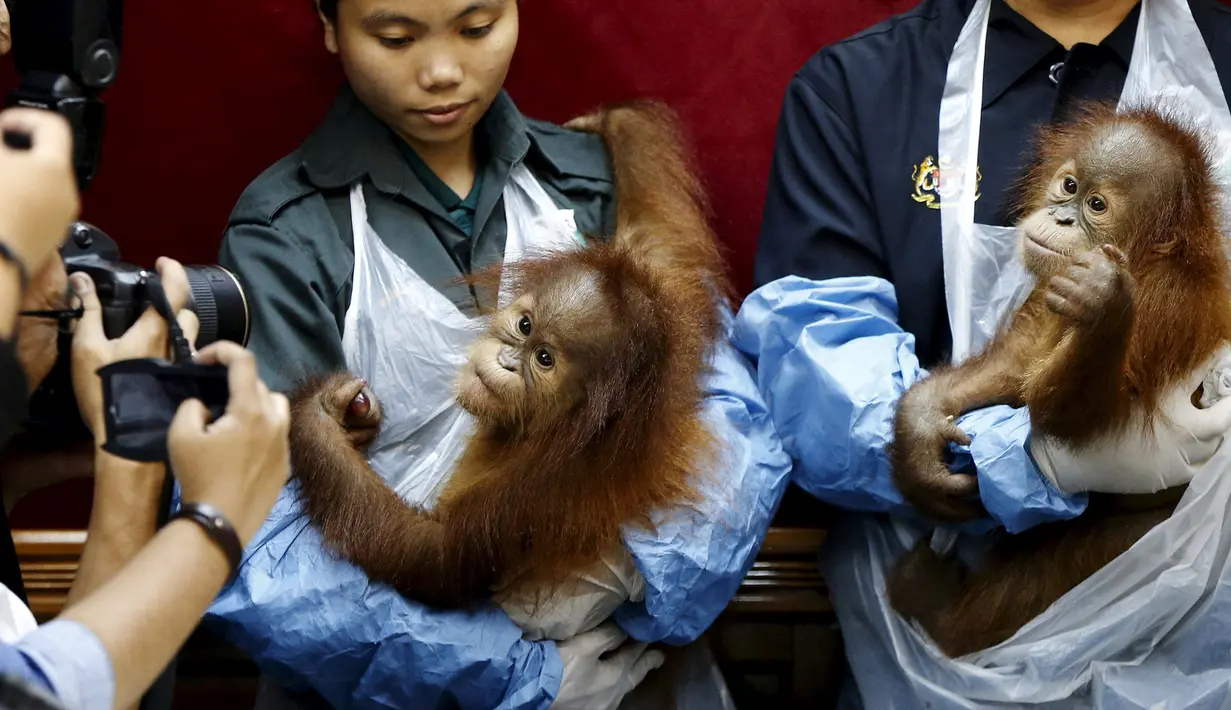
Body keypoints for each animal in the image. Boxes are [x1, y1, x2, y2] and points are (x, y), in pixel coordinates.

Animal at [884, 102, 1231, 657]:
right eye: (1069, 186)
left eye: (1096, 204)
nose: (1062, 216)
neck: (1142, 258)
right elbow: (1022, 362)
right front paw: (919, 430)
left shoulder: (1166, 302)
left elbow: (1077, 423)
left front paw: (1104, 308)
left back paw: (938, 610)